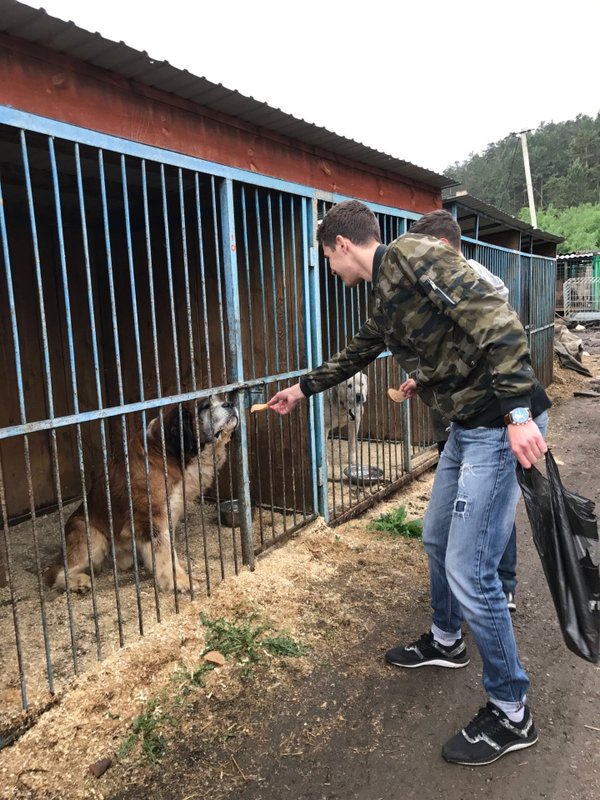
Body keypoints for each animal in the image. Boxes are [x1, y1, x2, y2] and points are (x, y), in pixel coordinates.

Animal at [45, 398, 238, 592]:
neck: (168, 452)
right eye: (205, 406)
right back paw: (78, 583)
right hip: (91, 536)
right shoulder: (152, 517)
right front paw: (179, 581)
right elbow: (165, 551)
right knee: (55, 572)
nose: (229, 403)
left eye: (220, 400)